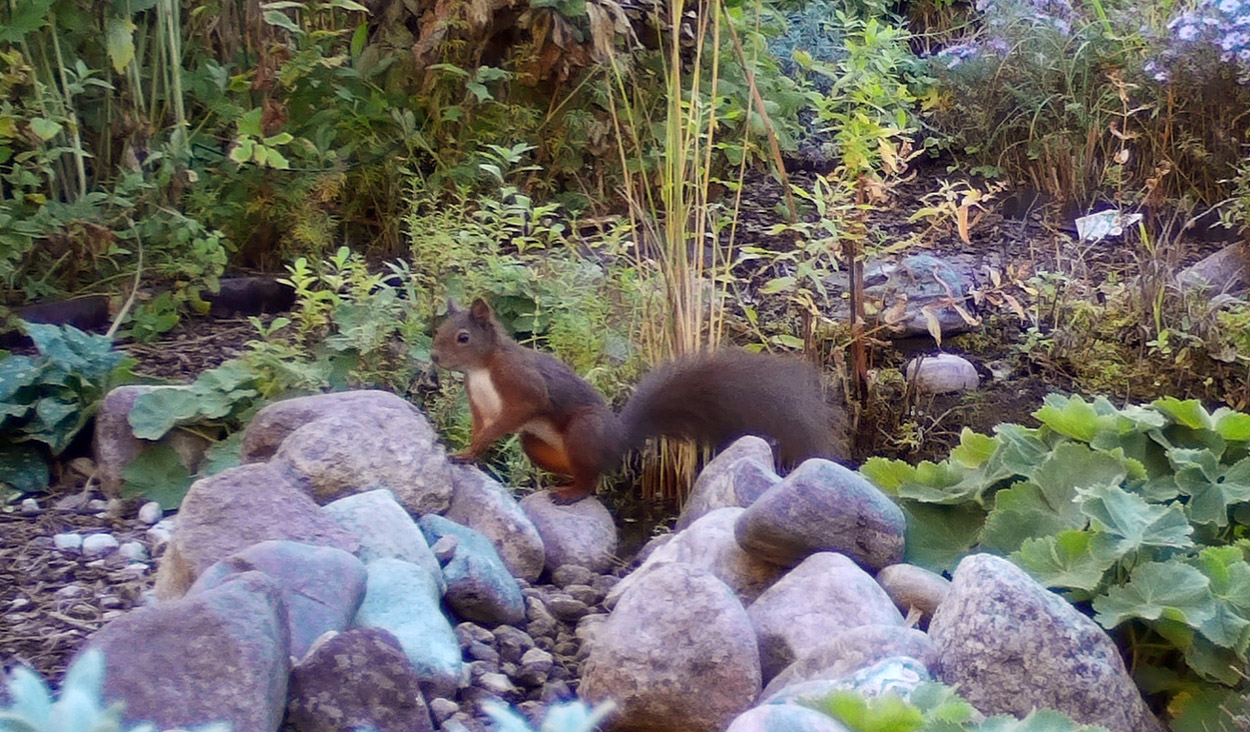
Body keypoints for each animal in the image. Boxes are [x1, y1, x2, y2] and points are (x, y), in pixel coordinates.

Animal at [431, 297, 837, 503]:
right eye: (438, 331)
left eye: (463, 337)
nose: (434, 357)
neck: (481, 369)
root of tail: (617, 440)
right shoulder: (478, 403)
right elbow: (479, 427)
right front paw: (467, 452)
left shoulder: (522, 384)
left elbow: (522, 408)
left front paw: (480, 445)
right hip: (537, 443)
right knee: (589, 471)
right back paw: (560, 483)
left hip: (584, 428)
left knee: (592, 478)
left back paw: (571, 492)